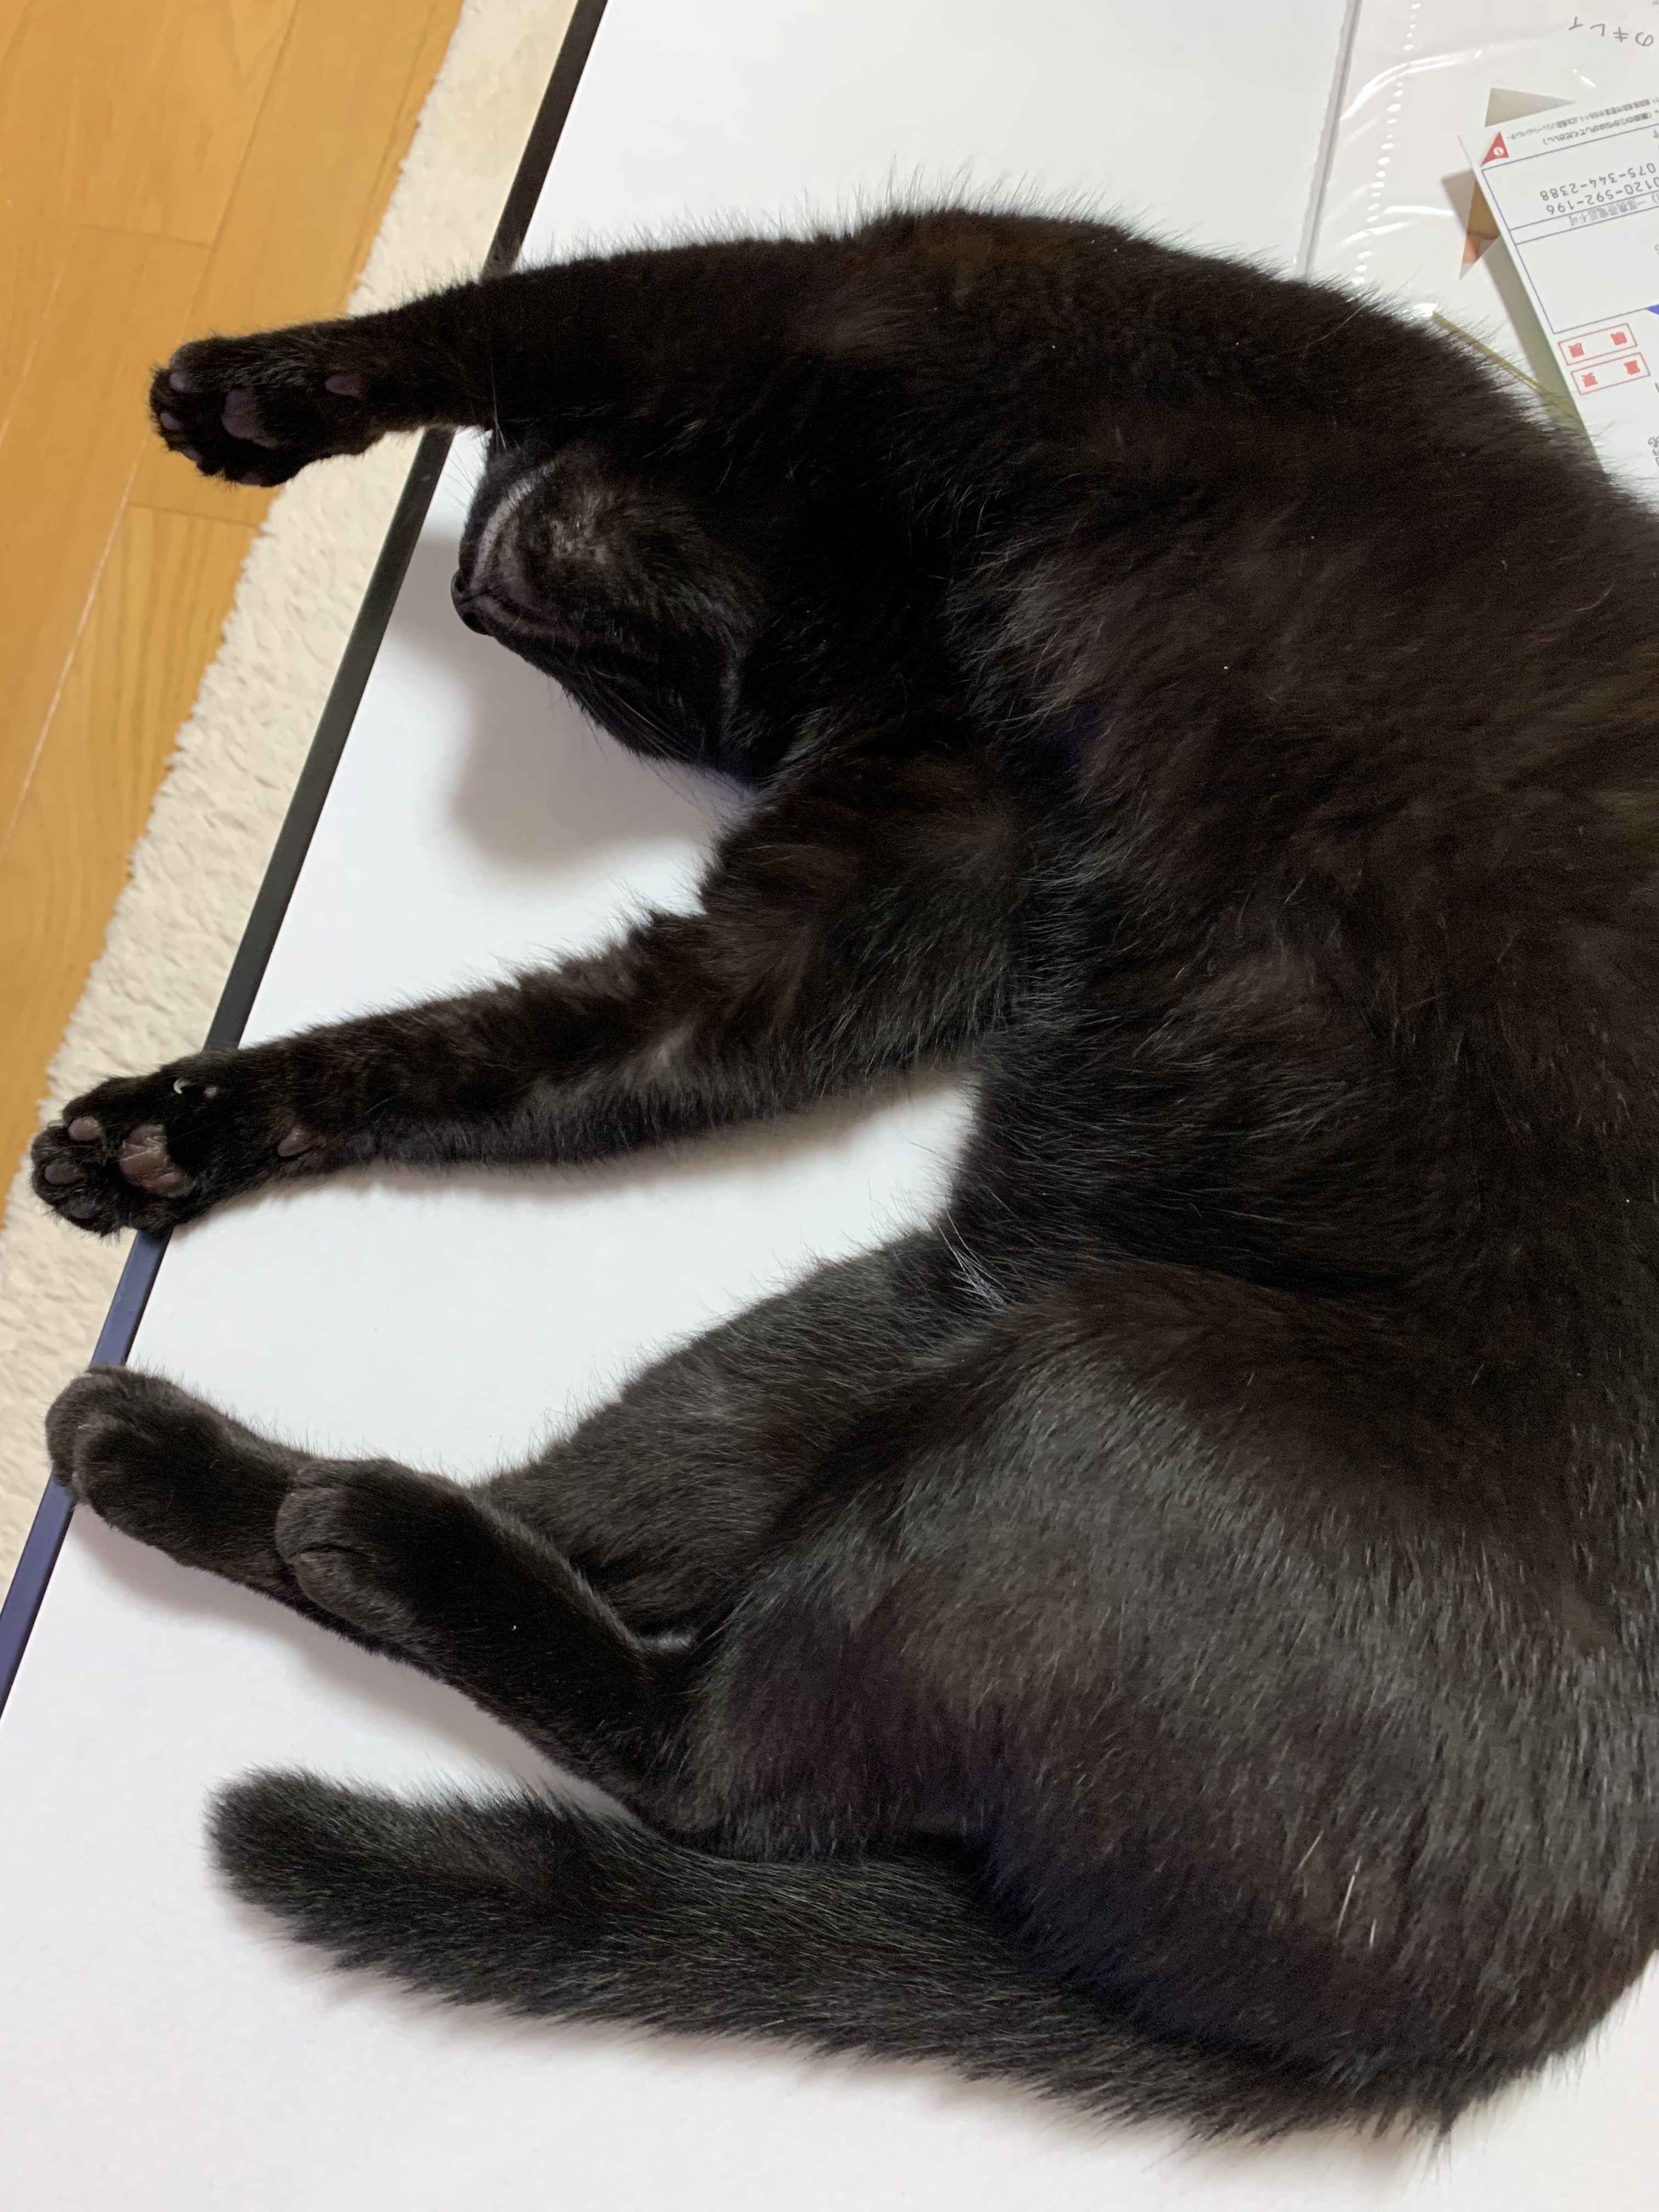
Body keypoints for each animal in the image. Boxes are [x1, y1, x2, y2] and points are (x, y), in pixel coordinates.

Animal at [31, 208, 1659, 2138]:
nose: (472, 573)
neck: (905, 608)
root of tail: (1488, 2040)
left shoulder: (884, 295)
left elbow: (515, 313)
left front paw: (252, 399)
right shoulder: (850, 908)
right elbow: (492, 1048)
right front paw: (169, 1130)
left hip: (1096, 1376)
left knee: (715, 1769)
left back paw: (361, 1533)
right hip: (878, 1353)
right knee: (611, 1554)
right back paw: (177, 1460)